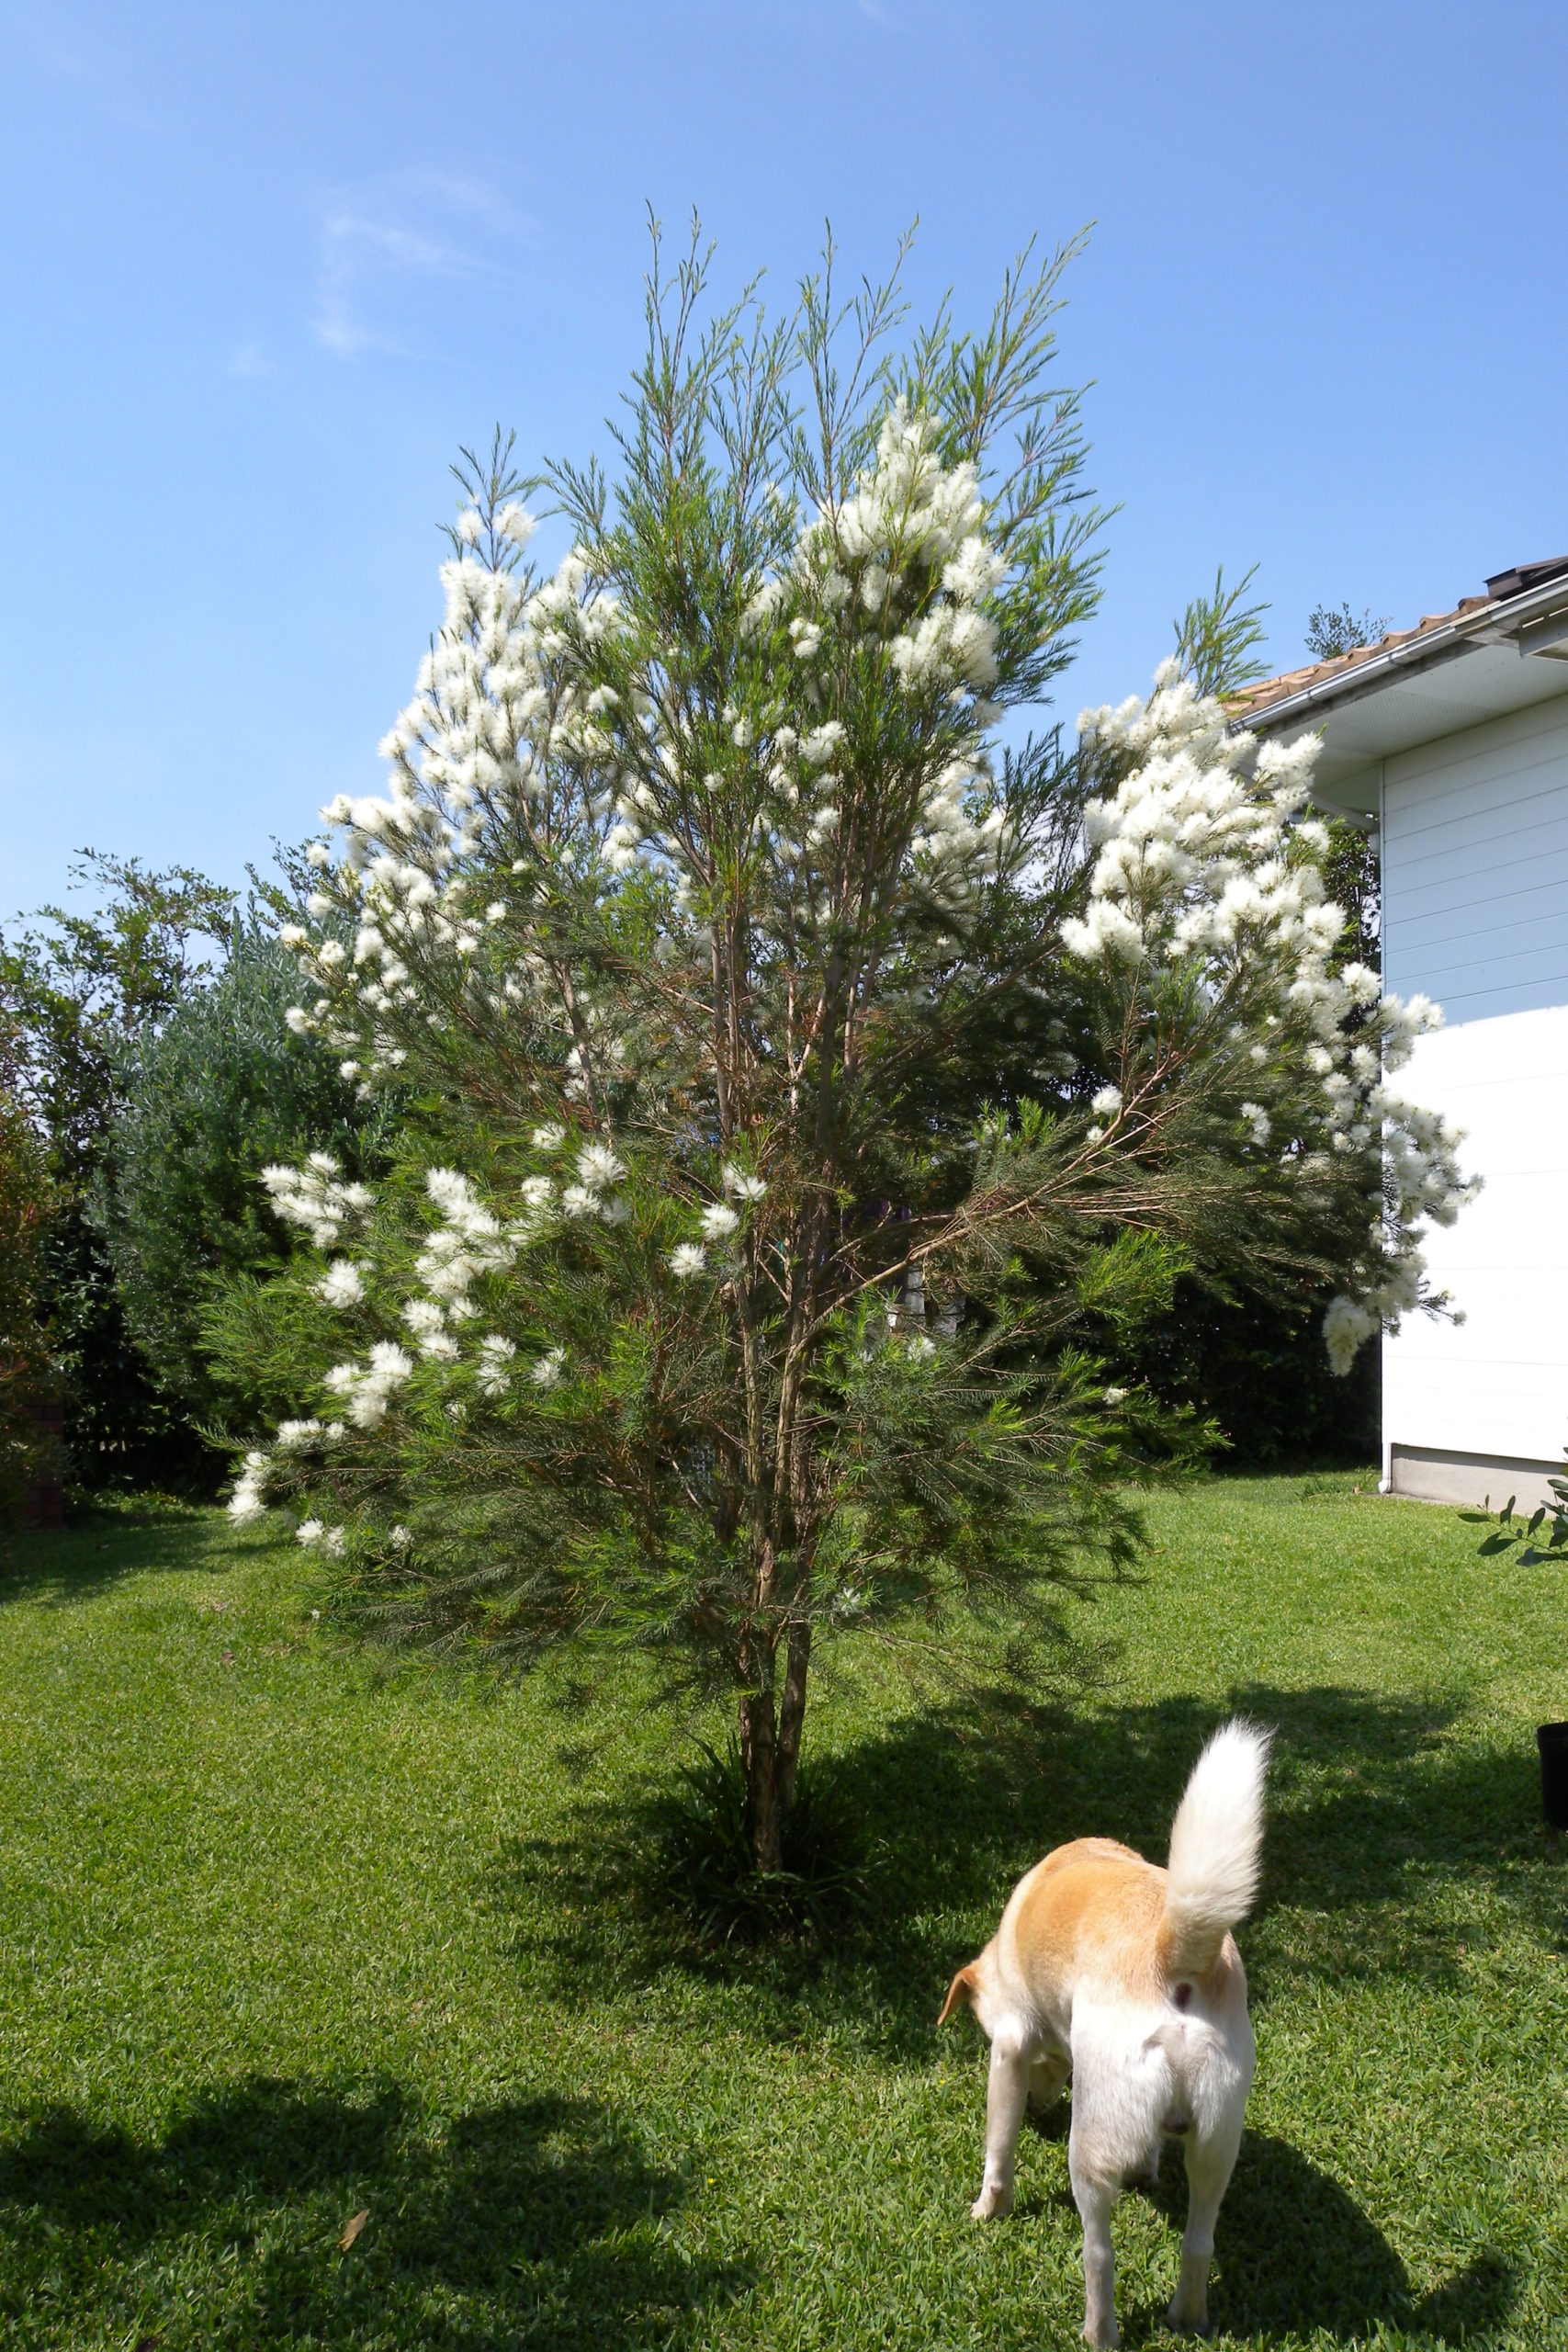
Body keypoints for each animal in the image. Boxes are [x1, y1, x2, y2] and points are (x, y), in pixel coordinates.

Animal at [940, 1721, 1269, 2342]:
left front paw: (989, 2208)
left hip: (1089, 2156)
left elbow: (998, 2148)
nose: (1040, 2109)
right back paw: (1187, 2318)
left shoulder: (1009, 2047)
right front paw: (1146, 2170)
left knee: (1100, 2254)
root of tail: (1172, 1955)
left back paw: (1099, 2334)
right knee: (1199, 2243)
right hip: (1217, 2147)